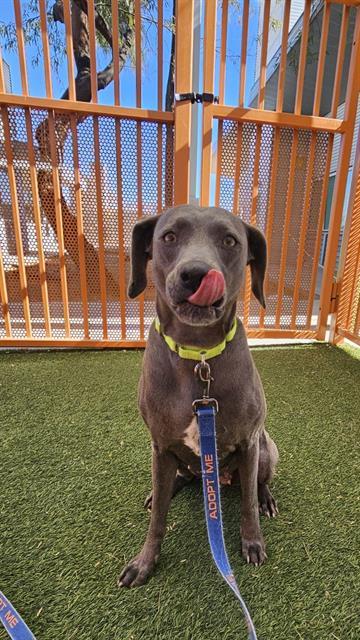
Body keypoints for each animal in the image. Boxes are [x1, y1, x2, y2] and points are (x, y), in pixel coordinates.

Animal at [118, 205, 278, 592]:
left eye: (230, 241)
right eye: (169, 236)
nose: (196, 274)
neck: (198, 354)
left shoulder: (249, 443)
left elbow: (247, 503)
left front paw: (253, 542)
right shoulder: (160, 446)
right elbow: (158, 519)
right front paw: (144, 562)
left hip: (267, 449)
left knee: (258, 483)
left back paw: (266, 499)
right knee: (176, 480)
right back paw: (163, 490)